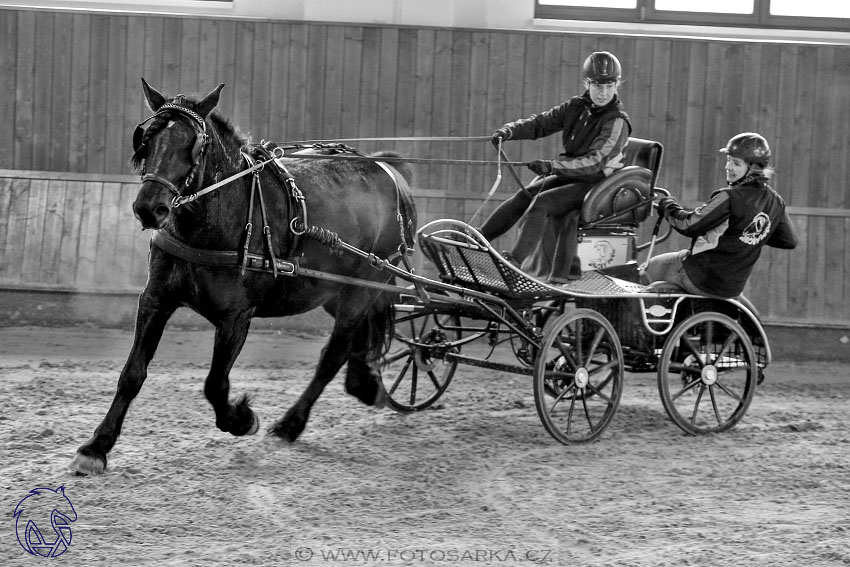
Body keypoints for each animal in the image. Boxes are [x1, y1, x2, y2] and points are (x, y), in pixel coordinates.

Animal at [70, 79, 418, 474]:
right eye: (146, 138)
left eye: (194, 144)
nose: (149, 207)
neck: (218, 217)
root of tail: (387, 169)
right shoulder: (156, 299)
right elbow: (132, 373)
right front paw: (96, 447)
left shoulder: (236, 316)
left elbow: (215, 384)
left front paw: (241, 419)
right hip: (330, 290)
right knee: (360, 334)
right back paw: (365, 383)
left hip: (361, 287)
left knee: (334, 353)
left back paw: (291, 424)